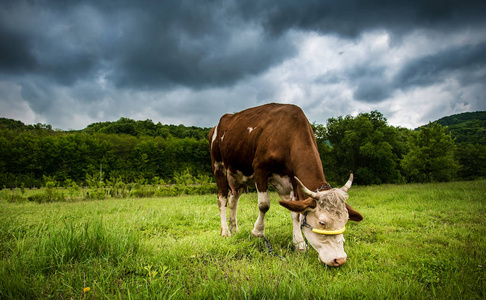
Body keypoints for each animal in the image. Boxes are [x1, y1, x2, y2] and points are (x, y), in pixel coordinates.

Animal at [207, 103, 362, 268]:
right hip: (218, 167)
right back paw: (225, 231)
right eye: (322, 222)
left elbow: (296, 212)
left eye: (345, 220)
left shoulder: (293, 180)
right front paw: (257, 232)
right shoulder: (260, 169)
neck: (288, 134)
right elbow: (264, 205)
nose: (340, 259)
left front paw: (299, 243)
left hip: (238, 175)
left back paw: (234, 228)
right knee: (222, 199)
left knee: (233, 201)